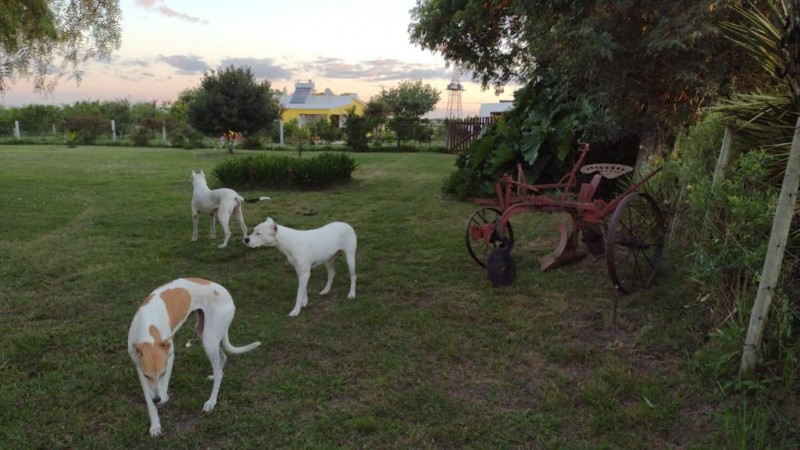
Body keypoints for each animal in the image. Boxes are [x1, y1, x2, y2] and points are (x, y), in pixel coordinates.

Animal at [126, 276, 260, 438]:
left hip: (209, 339)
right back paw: (212, 377)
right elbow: (148, 399)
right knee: (222, 358)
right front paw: (155, 425)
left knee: (220, 372)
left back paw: (211, 401)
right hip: (202, 331)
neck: (148, 328)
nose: (157, 398)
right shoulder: (140, 368)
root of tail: (227, 294)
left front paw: (163, 398)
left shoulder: (169, 357)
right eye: (147, 376)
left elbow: (163, 384)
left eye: (163, 373)